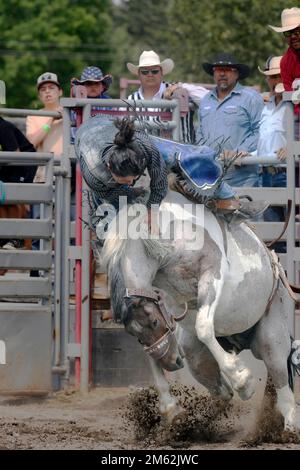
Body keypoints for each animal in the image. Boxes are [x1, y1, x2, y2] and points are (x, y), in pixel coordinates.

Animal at [102, 190, 298, 430]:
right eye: (135, 335)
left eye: (155, 322)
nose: (172, 363)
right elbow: (151, 353)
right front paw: (171, 408)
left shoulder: (212, 274)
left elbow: (204, 327)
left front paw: (243, 381)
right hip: (195, 356)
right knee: (221, 390)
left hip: (271, 339)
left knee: (282, 385)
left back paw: (288, 426)